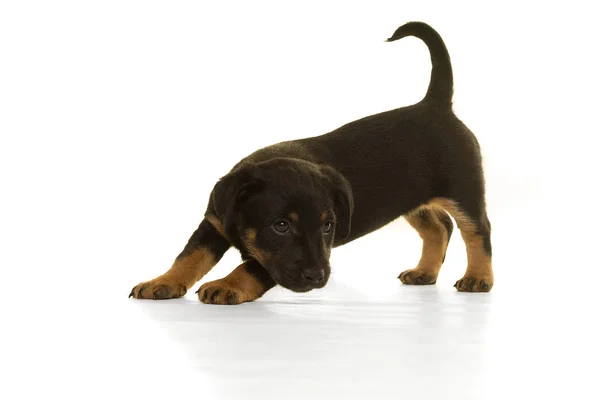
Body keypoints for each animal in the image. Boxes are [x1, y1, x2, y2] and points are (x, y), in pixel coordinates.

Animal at [130, 21, 492, 306]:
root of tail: (435, 104)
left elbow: (252, 265)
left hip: (464, 189)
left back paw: (478, 278)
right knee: (438, 227)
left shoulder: (271, 260)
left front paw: (227, 285)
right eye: (281, 225)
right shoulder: (213, 224)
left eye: (328, 226)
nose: (316, 277)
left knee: (477, 231)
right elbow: (189, 256)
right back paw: (424, 272)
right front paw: (162, 282)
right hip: (410, 197)